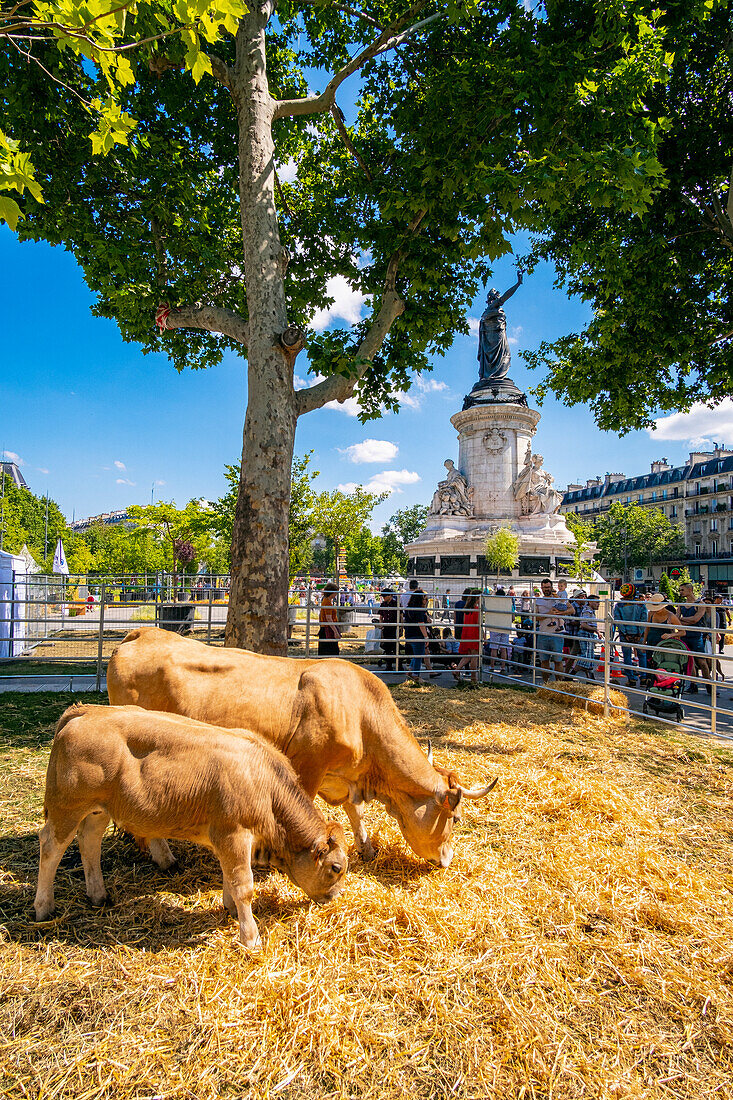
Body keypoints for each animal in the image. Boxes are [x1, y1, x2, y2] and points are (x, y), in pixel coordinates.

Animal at [35, 708, 349, 950]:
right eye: (336, 868)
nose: (335, 897)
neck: (264, 783)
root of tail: (85, 711)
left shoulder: (228, 840)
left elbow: (229, 876)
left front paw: (230, 908)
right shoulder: (234, 834)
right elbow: (243, 886)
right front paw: (250, 938)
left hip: (99, 810)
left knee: (89, 842)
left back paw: (98, 895)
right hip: (67, 808)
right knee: (50, 847)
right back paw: (44, 907)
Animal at [107, 629, 497, 866]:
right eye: (455, 818)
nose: (445, 861)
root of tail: (143, 633)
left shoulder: (342, 777)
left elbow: (355, 812)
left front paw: (367, 847)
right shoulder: (308, 766)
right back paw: (163, 857)